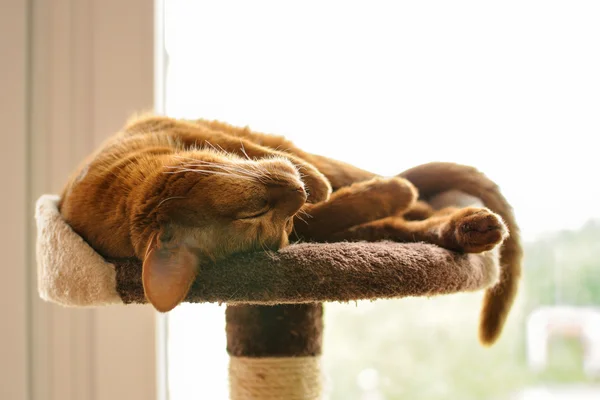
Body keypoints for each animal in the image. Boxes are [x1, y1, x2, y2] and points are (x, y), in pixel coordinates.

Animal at [59, 114, 520, 346]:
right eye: (263, 216)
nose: (296, 194)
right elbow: (334, 204)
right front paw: (383, 192)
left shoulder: (195, 129)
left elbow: (285, 157)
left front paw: (318, 181)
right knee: (399, 223)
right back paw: (468, 226)